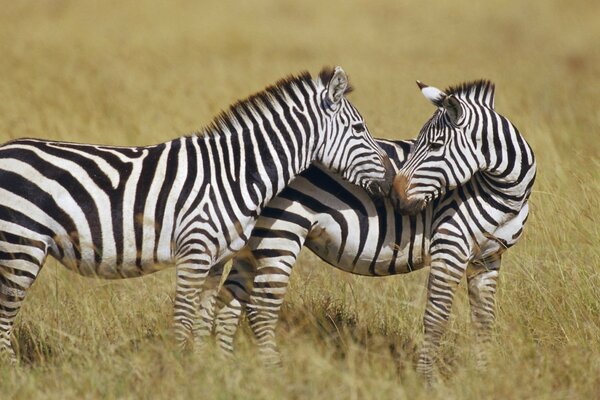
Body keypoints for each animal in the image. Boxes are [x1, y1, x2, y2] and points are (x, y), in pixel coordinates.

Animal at [0, 66, 394, 362]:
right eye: (359, 129)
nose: (393, 178)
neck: (235, 173)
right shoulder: (195, 249)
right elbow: (184, 317)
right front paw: (182, 370)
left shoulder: (217, 258)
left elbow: (205, 318)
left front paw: (206, 370)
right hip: (22, 245)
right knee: (5, 314)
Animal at [205, 79, 536, 382]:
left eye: (435, 146)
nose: (395, 196)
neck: (506, 194)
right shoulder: (450, 246)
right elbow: (437, 316)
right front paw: (427, 380)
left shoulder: (488, 258)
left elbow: (484, 320)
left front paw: (483, 376)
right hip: (281, 230)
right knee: (260, 307)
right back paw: (273, 375)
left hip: (253, 241)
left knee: (228, 301)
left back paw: (226, 367)